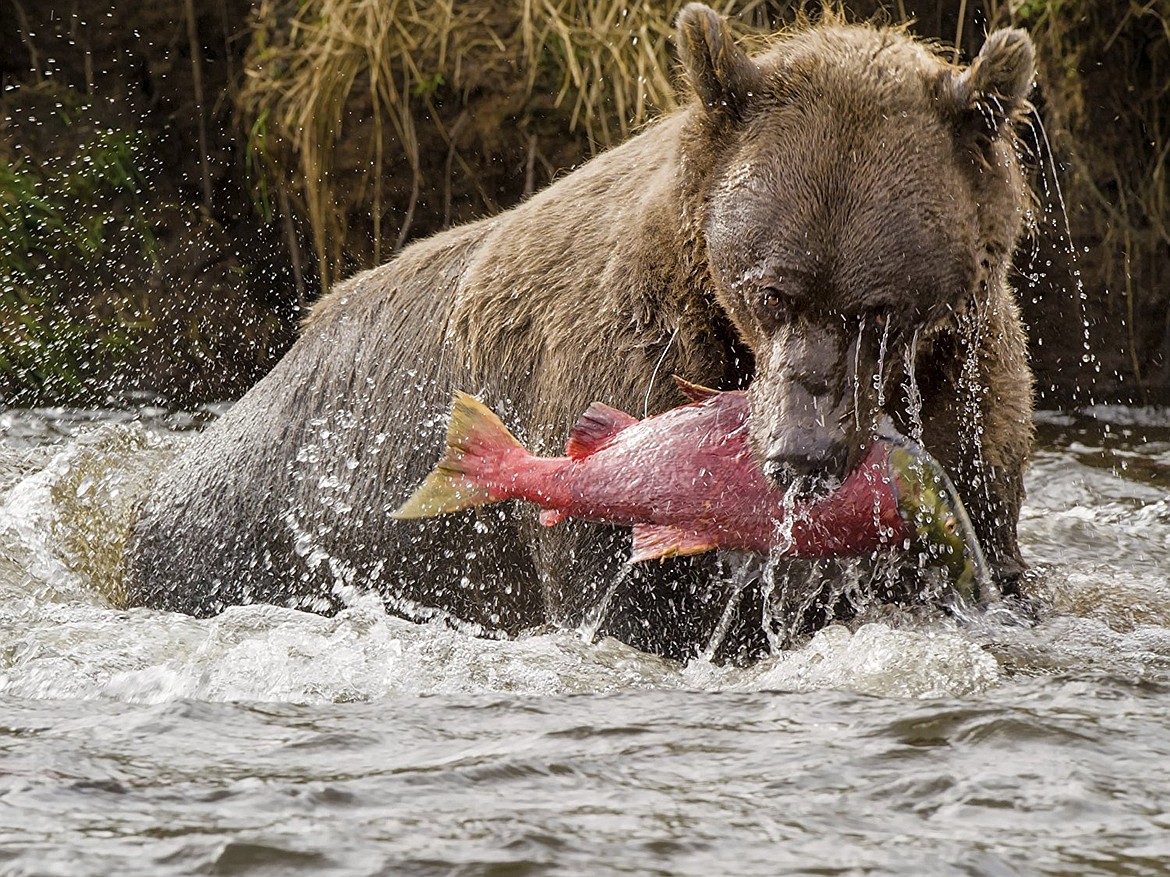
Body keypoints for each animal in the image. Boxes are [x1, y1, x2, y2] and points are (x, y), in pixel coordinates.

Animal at [125, 3, 1034, 664]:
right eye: (772, 291)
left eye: (875, 307)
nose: (800, 456)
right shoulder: (628, 366)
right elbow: (633, 598)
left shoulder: (967, 390)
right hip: (258, 535)